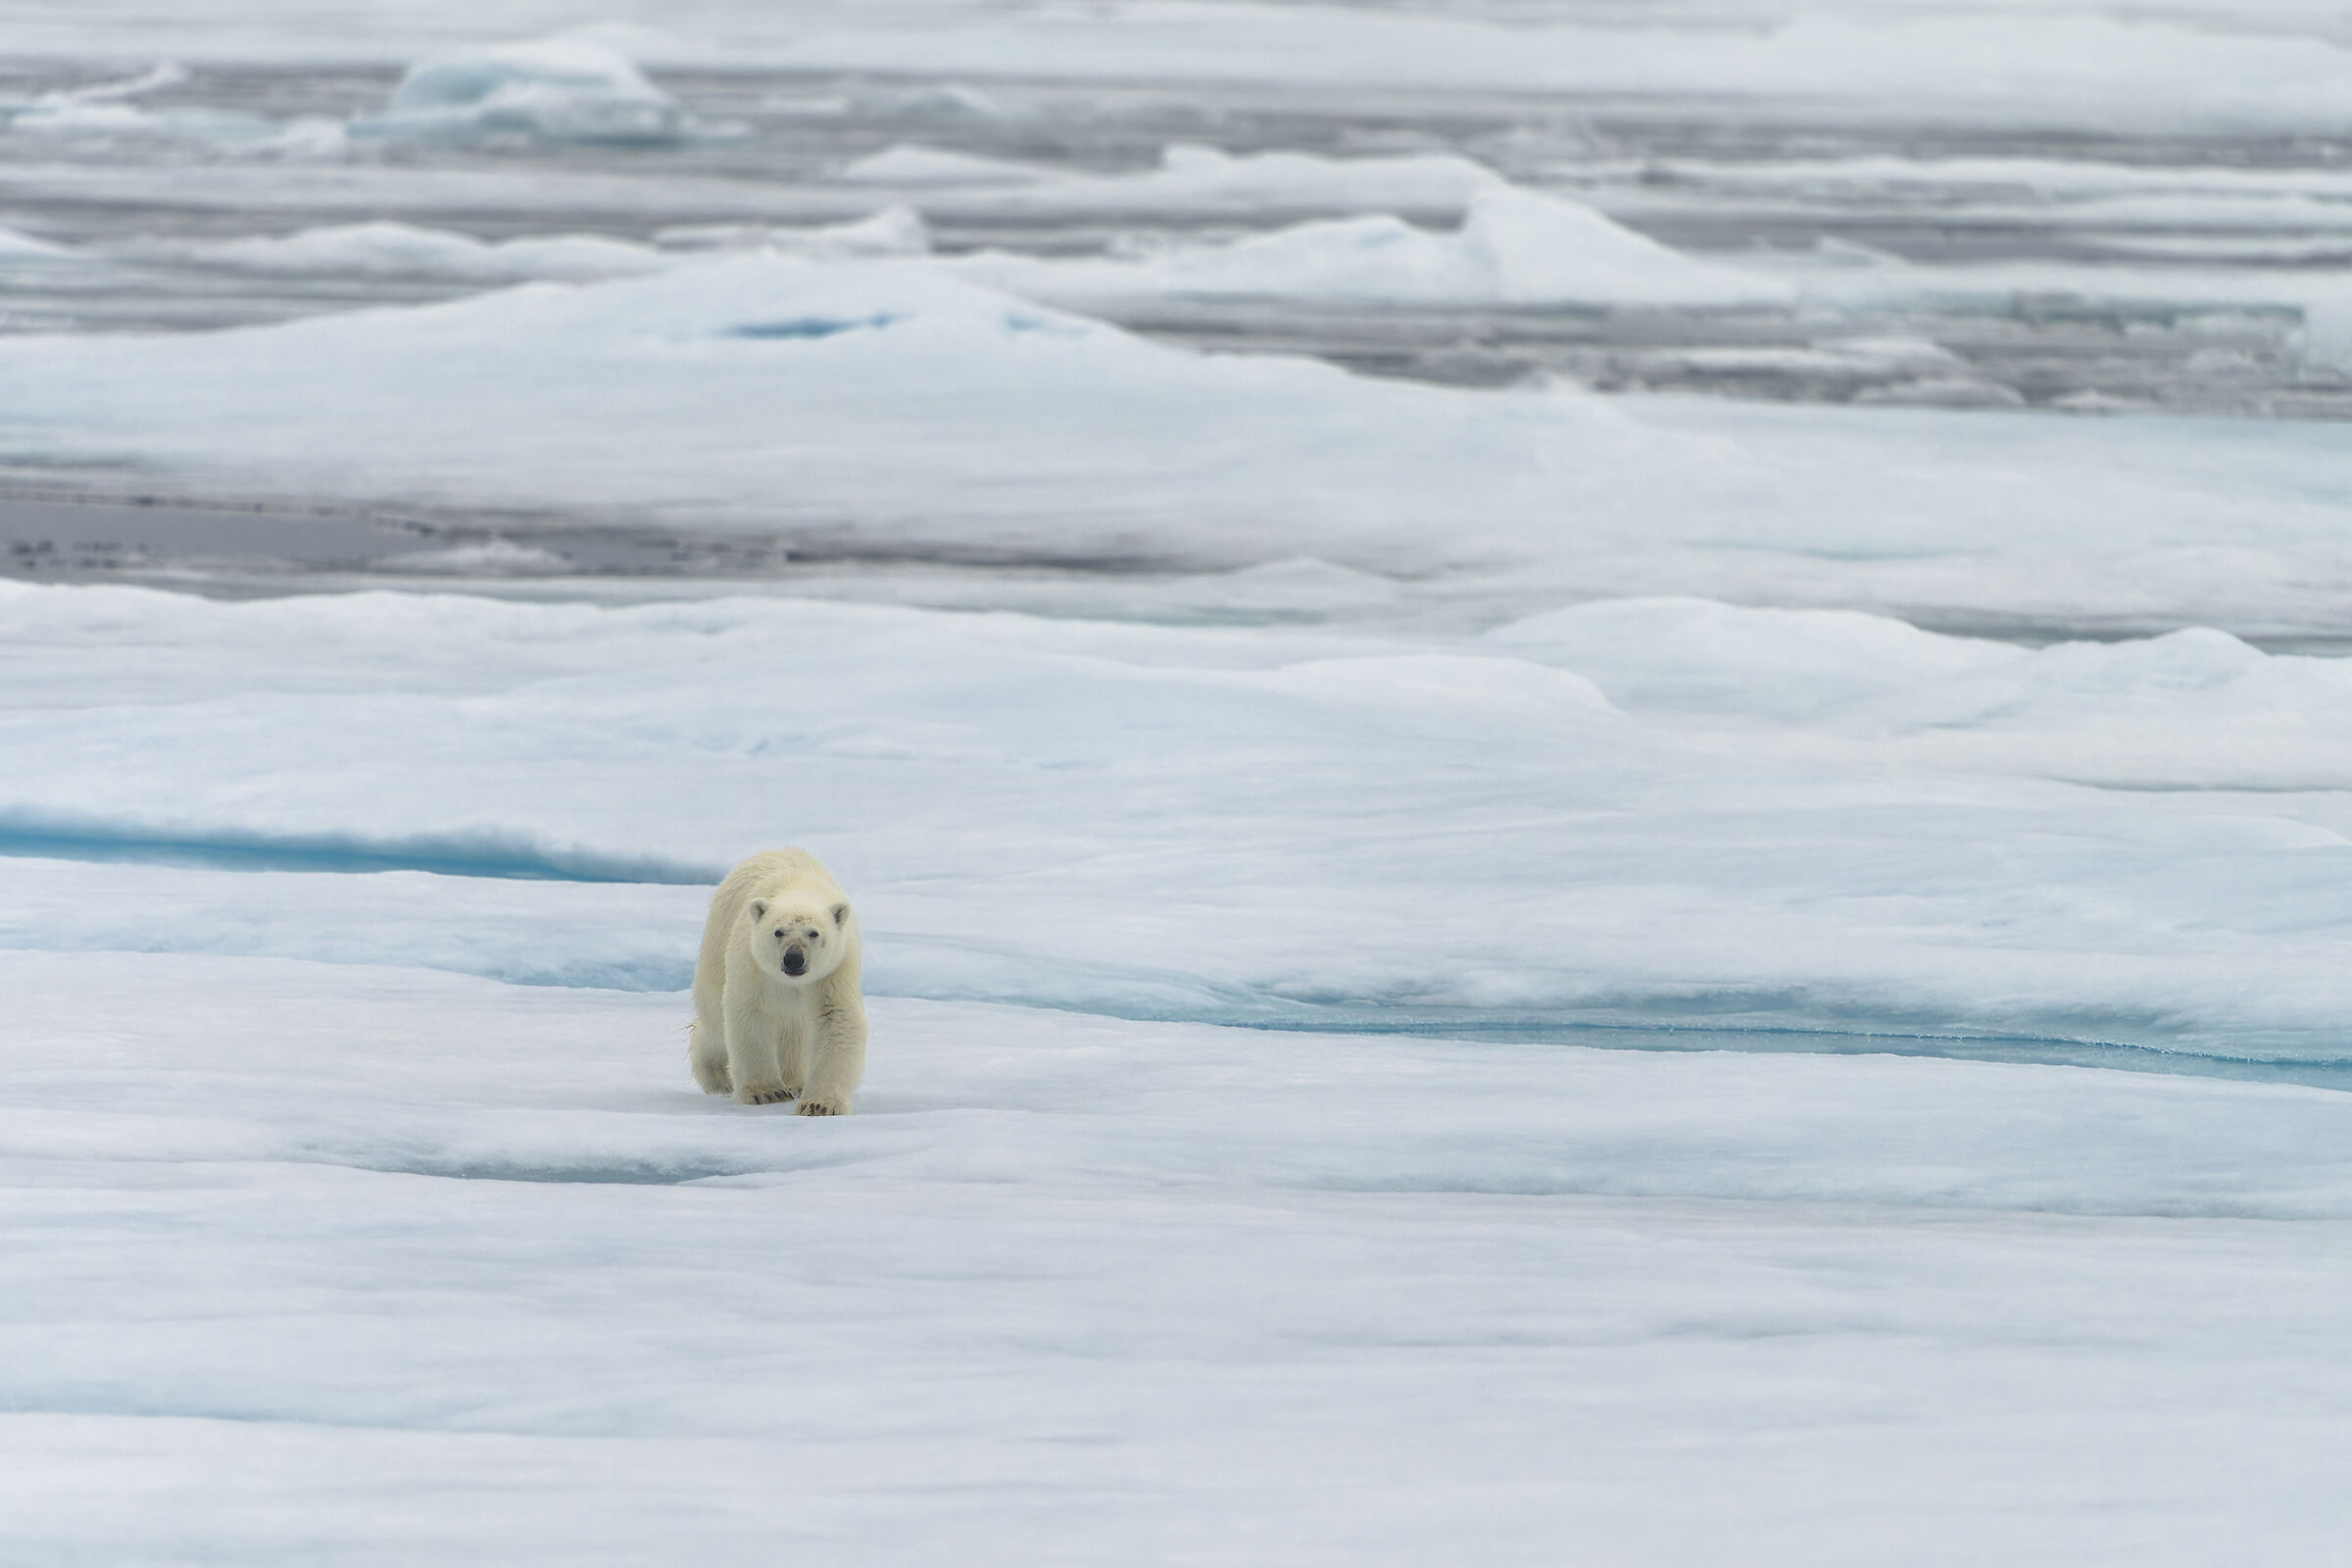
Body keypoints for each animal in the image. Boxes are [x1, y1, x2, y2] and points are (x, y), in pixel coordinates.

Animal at [687, 848, 867, 1115]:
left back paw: (795, 1082)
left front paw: (819, 1104)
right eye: (778, 932)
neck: (799, 887)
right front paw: (766, 1092)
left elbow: (836, 1018)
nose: (793, 959)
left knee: (793, 1032)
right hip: (717, 948)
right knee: (715, 1021)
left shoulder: (835, 969)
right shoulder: (753, 963)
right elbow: (750, 1014)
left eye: (814, 933)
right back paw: (717, 1077)